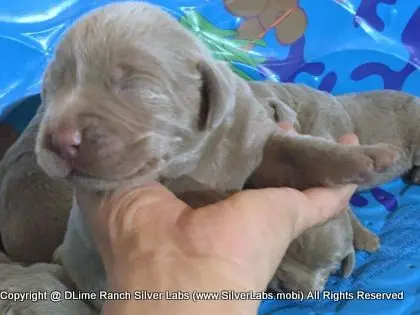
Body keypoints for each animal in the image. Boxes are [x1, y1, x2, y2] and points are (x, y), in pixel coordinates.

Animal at [36, 0, 416, 312]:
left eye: (134, 85)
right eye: (51, 88)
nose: (60, 139)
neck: (198, 156)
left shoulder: (255, 141)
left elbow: (299, 152)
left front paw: (367, 157)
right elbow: (194, 193)